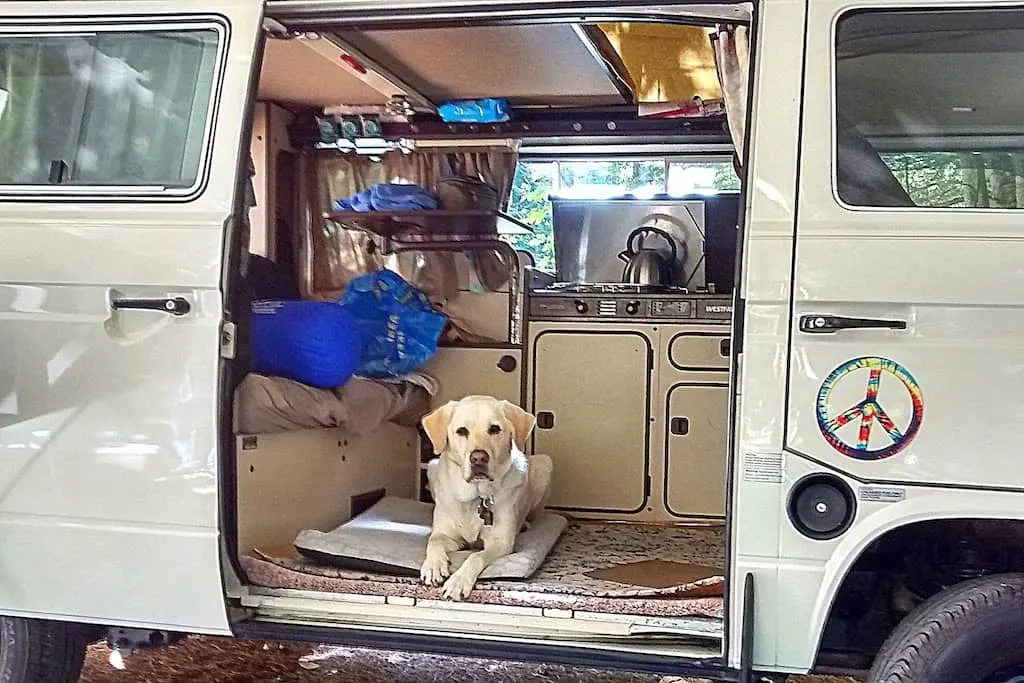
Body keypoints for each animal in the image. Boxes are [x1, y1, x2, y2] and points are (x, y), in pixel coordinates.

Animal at [417, 395, 552, 598]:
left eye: (494, 429)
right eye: (461, 431)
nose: (478, 458)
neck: (476, 496)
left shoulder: (500, 543)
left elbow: (476, 555)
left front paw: (459, 581)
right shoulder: (445, 535)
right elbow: (434, 541)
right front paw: (433, 567)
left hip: (545, 464)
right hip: (431, 467)